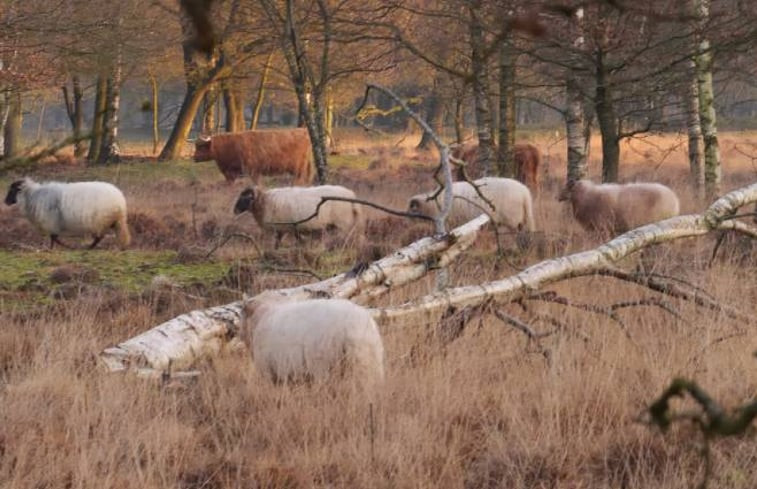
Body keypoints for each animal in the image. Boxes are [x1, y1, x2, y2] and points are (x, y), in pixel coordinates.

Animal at [3, 177, 131, 250]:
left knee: (99, 237)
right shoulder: (53, 223)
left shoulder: (51, 222)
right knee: (104, 236)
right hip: (111, 221)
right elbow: (54, 237)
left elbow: (54, 238)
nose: (5, 202)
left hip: (101, 221)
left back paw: (89, 247)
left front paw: (56, 248)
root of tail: (120, 199)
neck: (32, 196)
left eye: (12, 190)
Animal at [235, 186, 364, 250]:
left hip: (342, 222)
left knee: (345, 237)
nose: (235, 210)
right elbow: (289, 240)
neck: (264, 201)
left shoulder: (282, 227)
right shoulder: (289, 227)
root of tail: (351, 195)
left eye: (246, 198)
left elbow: (279, 241)